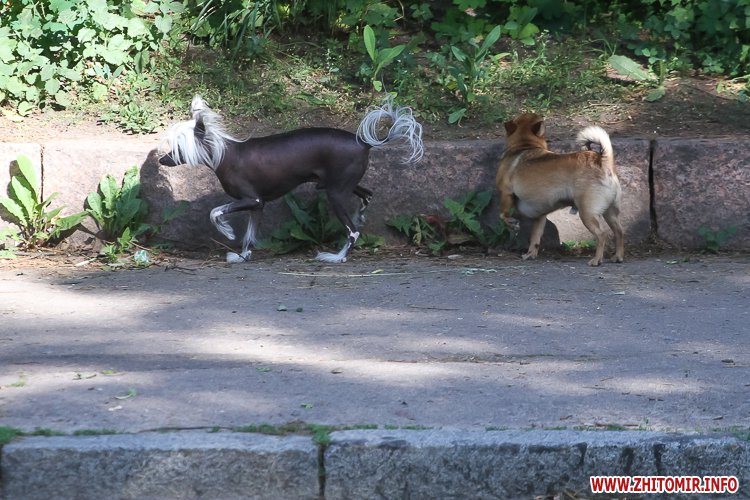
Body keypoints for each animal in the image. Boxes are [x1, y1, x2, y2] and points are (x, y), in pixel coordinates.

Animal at [159, 95, 424, 263]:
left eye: (177, 148)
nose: (161, 160)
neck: (225, 154)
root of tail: (364, 143)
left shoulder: (252, 200)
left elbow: (215, 212)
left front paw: (228, 233)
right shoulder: (258, 206)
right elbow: (249, 235)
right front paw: (243, 256)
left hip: (335, 194)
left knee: (353, 232)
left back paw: (337, 257)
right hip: (341, 185)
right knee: (367, 195)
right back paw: (360, 215)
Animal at [495, 113, 624, 266]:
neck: (525, 146)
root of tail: (603, 161)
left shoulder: (505, 193)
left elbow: (502, 215)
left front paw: (512, 224)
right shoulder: (540, 217)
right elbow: (535, 238)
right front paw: (531, 254)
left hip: (587, 213)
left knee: (601, 235)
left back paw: (597, 259)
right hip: (610, 212)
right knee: (619, 232)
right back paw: (618, 256)